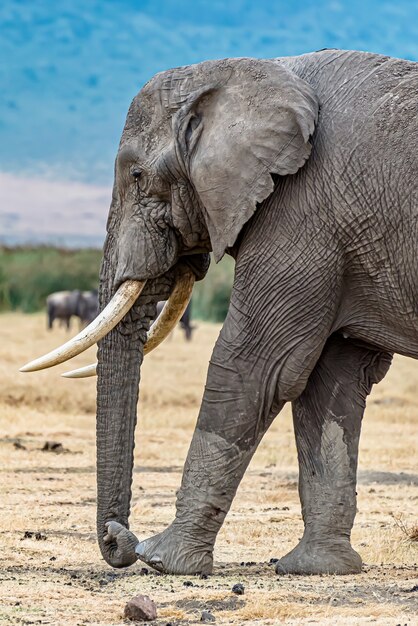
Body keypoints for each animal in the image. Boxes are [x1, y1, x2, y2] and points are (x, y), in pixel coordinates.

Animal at [23, 48, 418, 576]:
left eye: (136, 176)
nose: (117, 537)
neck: (254, 70)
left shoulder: (303, 210)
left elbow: (257, 366)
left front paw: (163, 559)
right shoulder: (339, 232)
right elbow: (329, 383)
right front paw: (317, 568)